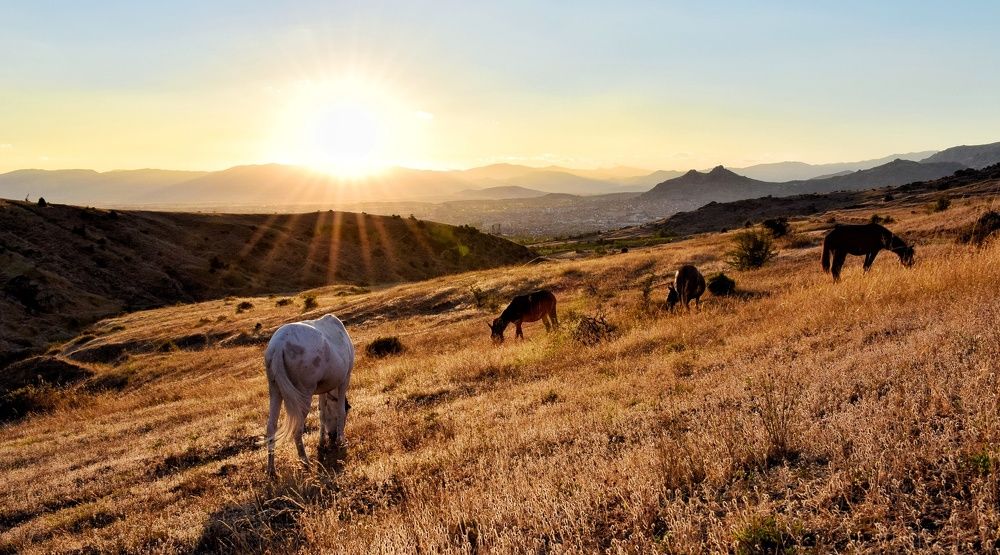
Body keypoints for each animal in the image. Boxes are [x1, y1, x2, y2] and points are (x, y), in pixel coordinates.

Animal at [264, 314, 354, 476]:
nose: (332, 436)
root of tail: (279, 344)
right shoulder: (345, 379)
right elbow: (340, 411)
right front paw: (341, 441)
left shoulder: (323, 388)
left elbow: (322, 414)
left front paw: (322, 442)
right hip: (304, 395)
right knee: (297, 430)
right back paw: (305, 462)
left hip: (275, 391)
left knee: (271, 427)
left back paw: (271, 470)